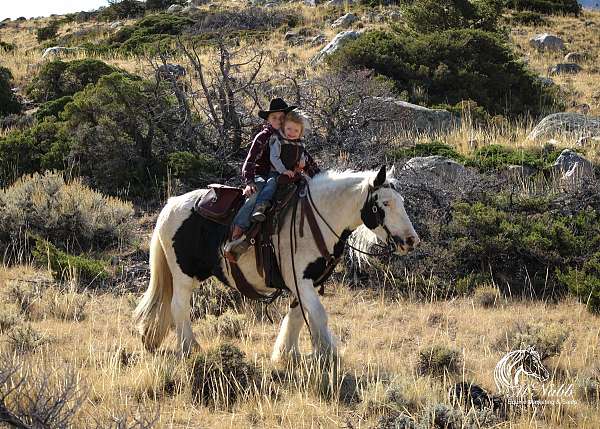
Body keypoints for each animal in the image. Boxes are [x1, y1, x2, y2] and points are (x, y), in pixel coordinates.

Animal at [134, 165, 420, 362]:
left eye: (402, 202)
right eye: (385, 203)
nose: (411, 240)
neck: (318, 218)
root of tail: (171, 205)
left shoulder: (306, 283)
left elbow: (297, 316)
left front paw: (286, 353)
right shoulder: (300, 280)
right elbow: (318, 315)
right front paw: (326, 354)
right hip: (184, 275)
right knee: (179, 307)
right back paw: (190, 348)